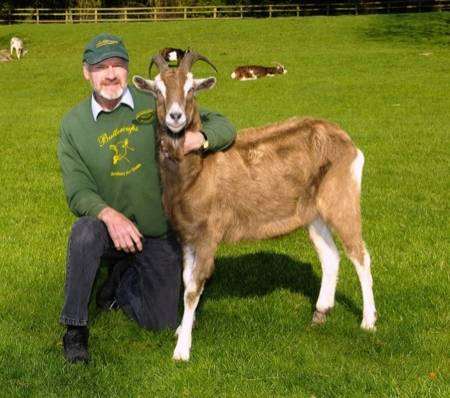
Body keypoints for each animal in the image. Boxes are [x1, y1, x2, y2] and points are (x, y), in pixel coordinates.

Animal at [133, 51, 376, 362]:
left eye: (191, 88)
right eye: (158, 90)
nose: (176, 117)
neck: (198, 172)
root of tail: (348, 142)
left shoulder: (209, 234)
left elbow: (193, 288)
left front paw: (182, 350)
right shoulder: (186, 235)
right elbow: (186, 280)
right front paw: (180, 330)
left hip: (341, 197)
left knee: (359, 254)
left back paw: (368, 321)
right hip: (312, 211)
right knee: (330, 255)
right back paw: (320, 313)